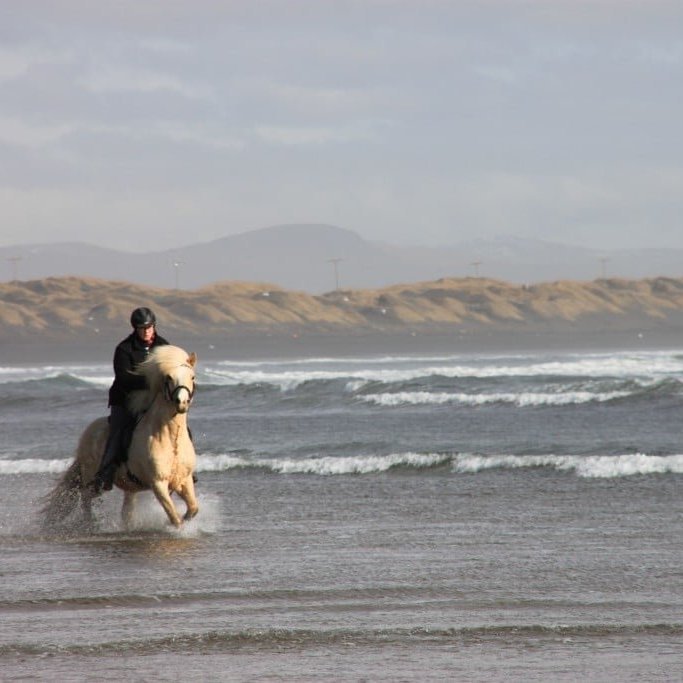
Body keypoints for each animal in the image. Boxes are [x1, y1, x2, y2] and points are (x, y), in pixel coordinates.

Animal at [42, 345, 199, 530]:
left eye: (192, 376)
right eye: (168, 377)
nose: (181, 402)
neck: (168, 436)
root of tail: (88, 432)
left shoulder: (184, 479)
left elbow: (193, 508)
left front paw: (185, 520)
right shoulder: (158, 483)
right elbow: (174, 516)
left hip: (129, 486)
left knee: (125, 512)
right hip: (93, 481)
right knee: (85, 497)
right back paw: (90, 524)